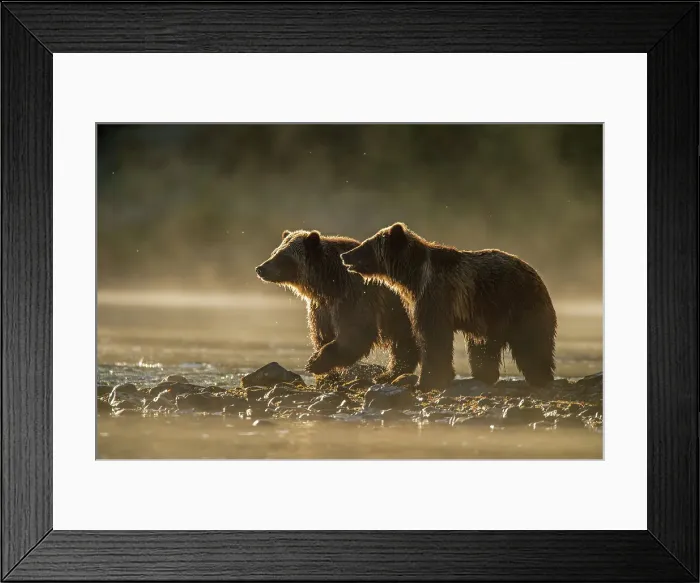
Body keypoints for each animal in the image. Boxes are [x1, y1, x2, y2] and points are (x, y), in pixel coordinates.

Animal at [255, 229, 420, 383]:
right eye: (274, 253)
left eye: (283, 256)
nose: (261, 268)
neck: (330, 284)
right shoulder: (321, 307)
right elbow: (322, 334)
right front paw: (326, 374)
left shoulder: (355, 297)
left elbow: (355, 333)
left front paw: (315, 362)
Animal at [340, 223, 557, 391]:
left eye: (366, 245)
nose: (345, 255)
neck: (413, 276)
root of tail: (536, 274)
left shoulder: (435, 295)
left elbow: (433, 337)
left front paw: (427, 380)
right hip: (490, 318)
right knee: (483, 347)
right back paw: (482, 375)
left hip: (517, 304)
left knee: (532, 342)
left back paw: (540, 376)